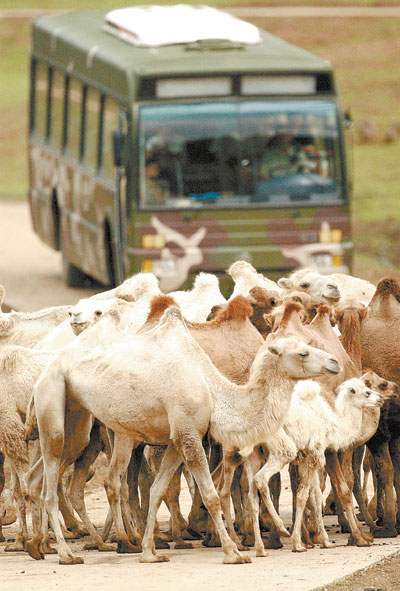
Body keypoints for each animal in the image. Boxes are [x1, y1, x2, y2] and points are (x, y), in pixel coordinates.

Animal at [31, 306, 340, 564]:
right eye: (303, 353)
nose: (335, 362)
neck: (212, 388)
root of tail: (51, 358)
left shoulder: (176, 440)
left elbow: (157, 490)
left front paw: (149, 553)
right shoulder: (189, 435)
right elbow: (210, 495)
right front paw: (233, 552)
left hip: (80, 421)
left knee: (49, 474)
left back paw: (42, 547)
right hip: (52, 397)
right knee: (50, 484)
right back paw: (66, 553)